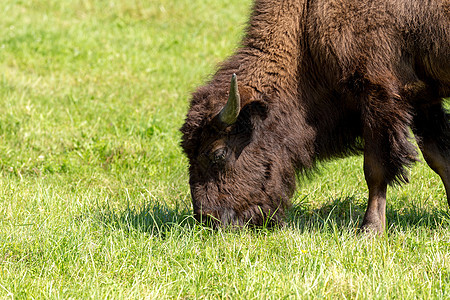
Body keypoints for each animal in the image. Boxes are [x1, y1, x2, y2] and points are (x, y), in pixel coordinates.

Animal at [180, 0, 450, 233]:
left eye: (218, 153)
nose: (209, 219)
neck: (305, 22)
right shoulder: (422, 98)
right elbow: (439, 159)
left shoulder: (377, 96)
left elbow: (375, 169)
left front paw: (369, 230)